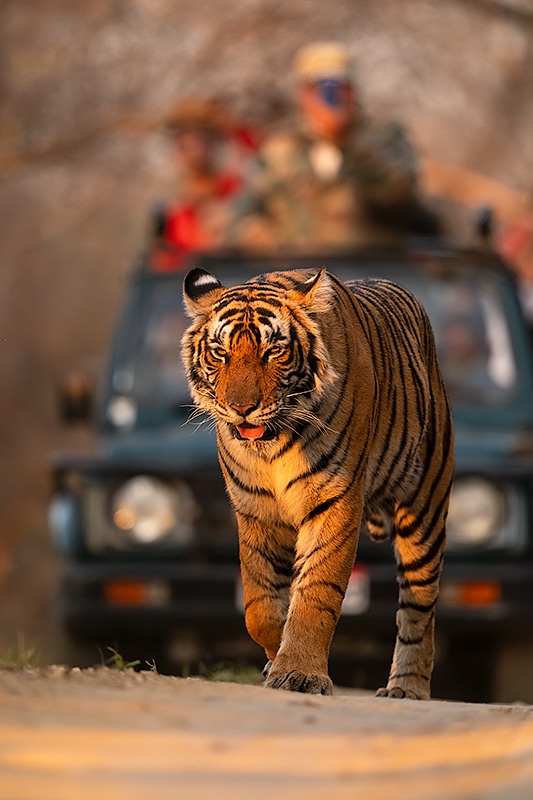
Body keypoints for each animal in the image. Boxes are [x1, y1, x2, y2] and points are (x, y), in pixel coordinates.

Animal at [182, 266, 454, 696]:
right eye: (220, 353)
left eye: (273, 352)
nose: (242, 409)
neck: (272, 446)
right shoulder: (256, 510)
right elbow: (258, 605)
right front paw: (275, 657)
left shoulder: (335, 501)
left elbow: (314, 595)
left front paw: (299, 673)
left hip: (425, 510)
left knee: (418, 611)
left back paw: (406, 688)